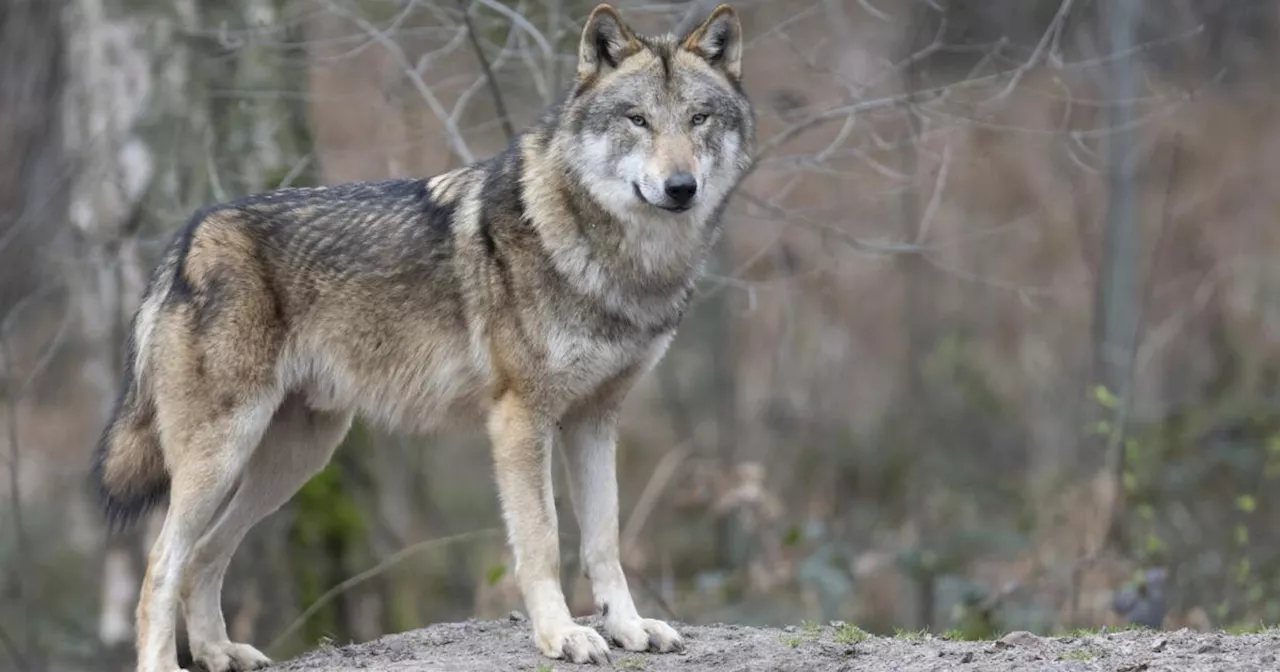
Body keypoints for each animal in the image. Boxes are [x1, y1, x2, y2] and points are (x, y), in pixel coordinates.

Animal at [92, 3, 747, 665]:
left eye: (698, 118)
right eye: (638, 120)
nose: (681, 187)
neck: (620, 263)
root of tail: (188, 239)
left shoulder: (595, 419)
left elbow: (604, 541)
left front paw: (629, 627)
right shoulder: (521, 417)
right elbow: (541, 540)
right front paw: (562, 635)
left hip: (294, 460)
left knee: (204, 556)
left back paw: (220, 652)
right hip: (224, 455)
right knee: (161, 565)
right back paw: (170, 662)